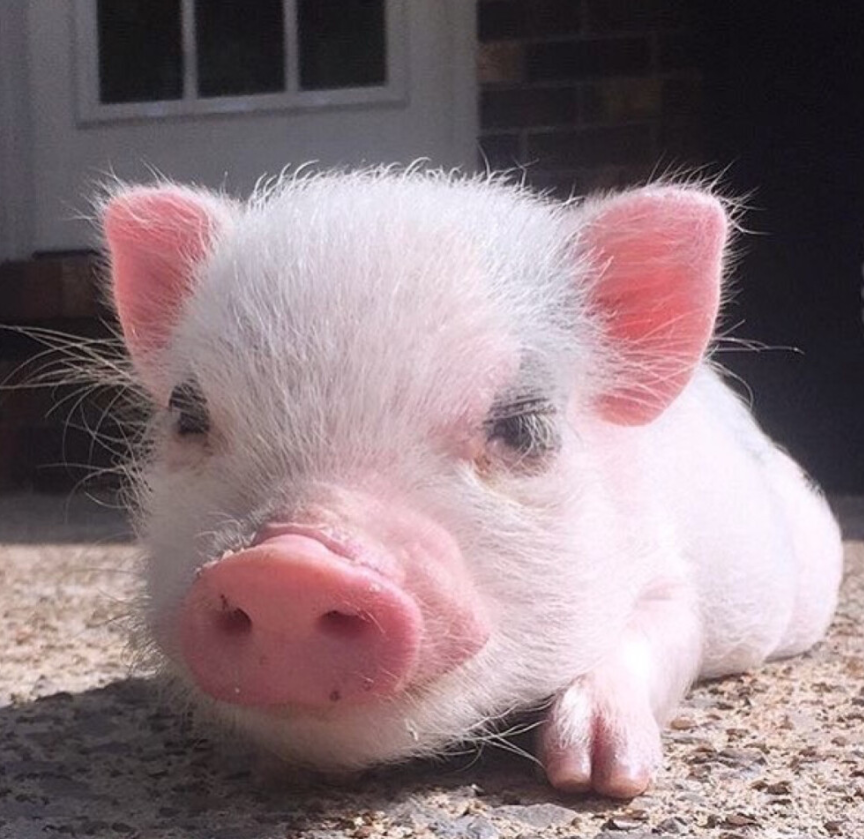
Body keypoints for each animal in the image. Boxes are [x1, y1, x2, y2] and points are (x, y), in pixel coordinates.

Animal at [100, 168, 843, 799]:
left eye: (522, 426)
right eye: (187, 415)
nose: (288, 566)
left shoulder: (673, 576)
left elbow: (657, 635)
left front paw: (596, 780)